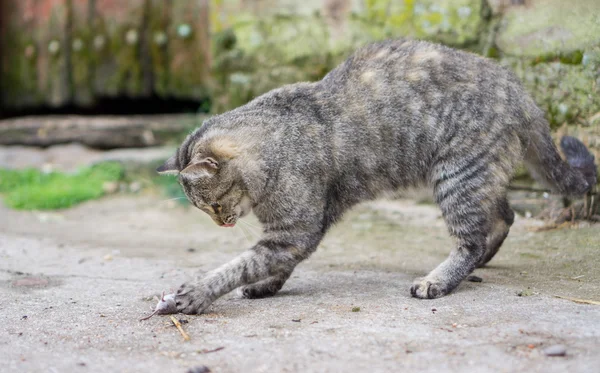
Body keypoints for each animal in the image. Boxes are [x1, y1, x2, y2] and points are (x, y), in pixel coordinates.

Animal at [157, 38, 596, 314]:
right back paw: (483, 258)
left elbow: (238, 266)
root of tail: (518, 88)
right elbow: (269, 266)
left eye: (213, 205)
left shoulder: (294, 232)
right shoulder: (292, 235)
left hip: (456, 176)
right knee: (503, 214)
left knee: (471, 238)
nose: (222, 223)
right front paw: (266, 286)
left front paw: (195, 294)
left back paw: (440, 279)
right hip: (475, 175)